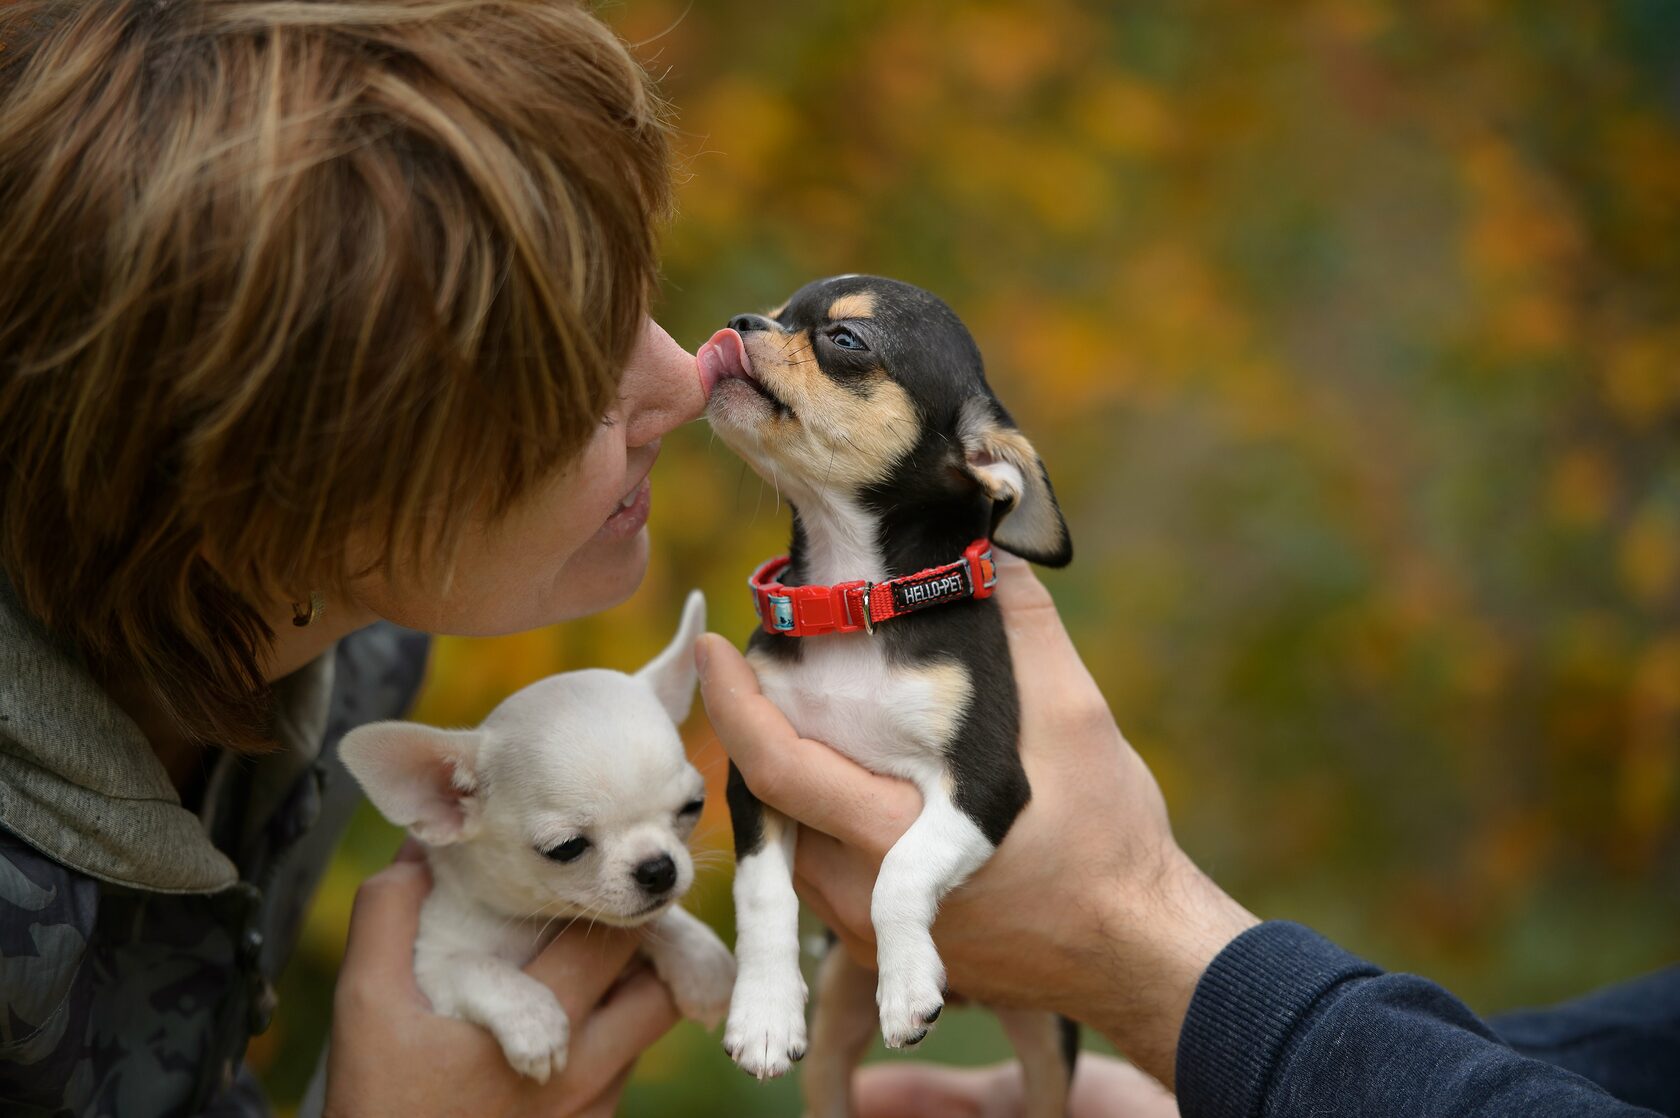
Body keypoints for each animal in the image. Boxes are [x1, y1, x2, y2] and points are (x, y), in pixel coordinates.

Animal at [341, 588, 735, 1075]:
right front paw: (534, 1022)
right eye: (566, 848)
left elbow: (662, 920)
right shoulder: (432, 966)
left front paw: (701, 960)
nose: (659, 869)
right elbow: (478, 969)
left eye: (692, 807)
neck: (538, 924)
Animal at [698, 277, 1075, 1116]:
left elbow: (900, 870)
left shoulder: (986, 784)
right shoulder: (757, 777)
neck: (851, 598)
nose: (740, 321)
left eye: (846, 341)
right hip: (838, 1006)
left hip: (1048, 1034)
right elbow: (761, 894)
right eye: (780, 313)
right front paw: (762, 1013)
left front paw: (906, 989)